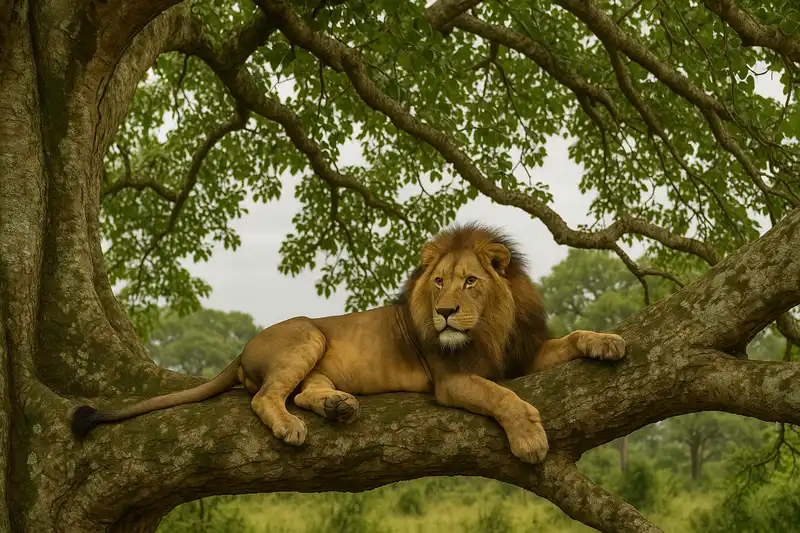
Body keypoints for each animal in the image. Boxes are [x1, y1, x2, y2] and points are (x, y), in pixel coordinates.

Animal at [72, 223, 626, 464]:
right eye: (438, 283)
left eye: (470, 282)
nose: (445, 312)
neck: (491, 326)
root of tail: (241, 349)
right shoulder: (452, 380)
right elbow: (502, 396)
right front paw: (530, 439)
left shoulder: (521, 355)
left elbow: (570, 338)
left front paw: (608, 341)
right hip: (308, 333)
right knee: (266, 396)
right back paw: (291, 427)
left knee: (302, 391)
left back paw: (338, 406)